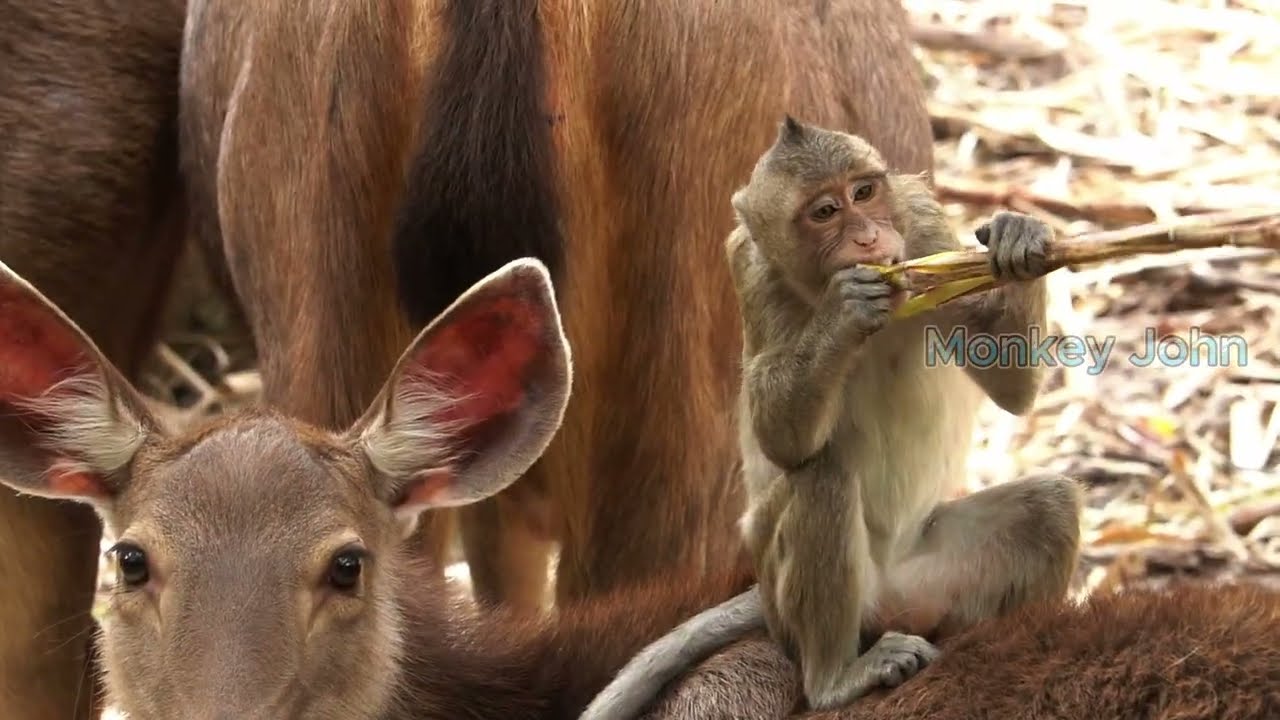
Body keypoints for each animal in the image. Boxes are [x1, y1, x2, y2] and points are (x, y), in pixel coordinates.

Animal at [578, 116, 1084, 720]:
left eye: (864, 193)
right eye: (825, 211)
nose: (867, 238)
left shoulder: (925, 229)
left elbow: (1010, 384)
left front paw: (1018, 243)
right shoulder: (752, 272)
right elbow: (782, 440)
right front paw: (843, 314)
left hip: (931, 578)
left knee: (1047, 508)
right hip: (800, 604)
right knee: (821, 477)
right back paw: (834, 679)